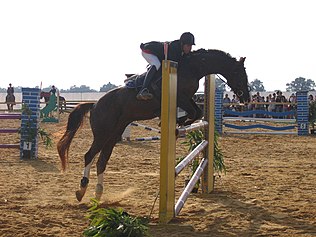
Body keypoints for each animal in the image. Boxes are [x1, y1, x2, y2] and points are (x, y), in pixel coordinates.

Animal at [56, 48, 249, 202]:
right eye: (240, 74)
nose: (246, 98)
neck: (192, 68)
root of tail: (95, 104)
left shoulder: (187, 99)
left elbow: (198, 113)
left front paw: (180, 123)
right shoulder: (181, 97)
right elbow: (194, 113)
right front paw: (176, 123)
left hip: (114, 134)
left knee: (102, 160)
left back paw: (98, 193)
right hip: (103, 133)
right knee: (89, 155)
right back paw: (82, 190)